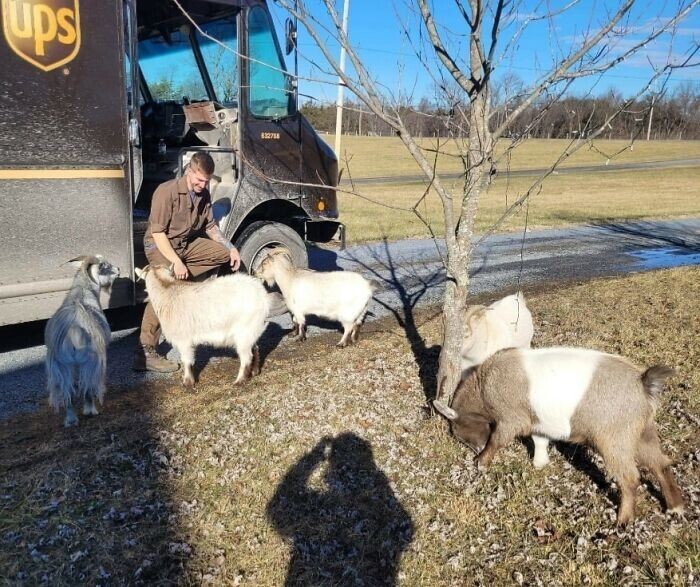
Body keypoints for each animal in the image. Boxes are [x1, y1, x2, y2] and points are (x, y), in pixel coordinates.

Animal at [45, 255, 119, 424]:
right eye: (106, 266)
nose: (118, 269)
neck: (83, 292)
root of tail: (73, 330)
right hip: (91, 361)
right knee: (88, 386)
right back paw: (91, 411)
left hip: (61, 366)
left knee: (68, 391)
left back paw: (71, 419)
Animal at [135, 266, 270, 386]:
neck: (167, 291)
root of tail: (262, 295)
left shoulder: (183, 339)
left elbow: (186, 360)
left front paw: (188, 383)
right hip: (251, 329)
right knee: (255, 348)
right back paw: (254, 372)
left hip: (244, 329)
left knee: (247, 356)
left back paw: (239, 380)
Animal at [432, 346, 684, 524]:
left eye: (458, 432)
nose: (475, 448)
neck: (484, 386)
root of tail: (643, 383)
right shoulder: (538, 423)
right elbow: (539, 440)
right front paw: (539, 463)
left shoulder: (511, 419)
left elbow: (497, 440)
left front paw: (481, 461)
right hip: (644, 432)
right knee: (660, 464)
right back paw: (675, 507)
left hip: (614, 439)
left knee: (630, 478)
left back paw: (623, 520)